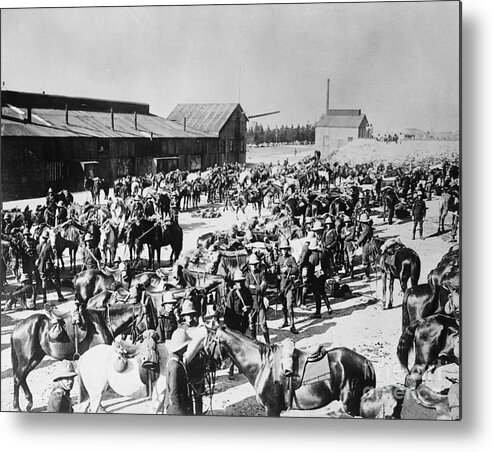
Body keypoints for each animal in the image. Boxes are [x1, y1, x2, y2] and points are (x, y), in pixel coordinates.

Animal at [9, 298, 157, 412]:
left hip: (35, 358)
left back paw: (29, 403)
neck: (103, 323)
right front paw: (99, 406)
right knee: (17, 379)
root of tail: (17, 327)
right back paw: (17, 406)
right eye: (149, 317)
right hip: (27, 359)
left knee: (22, 378)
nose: (155, 335)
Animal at [203, 324, 372, 416]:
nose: (206, 366)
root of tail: (366, 361)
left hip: (350, 406)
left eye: (209, 342)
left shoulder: (272, 410)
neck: (261, 365)